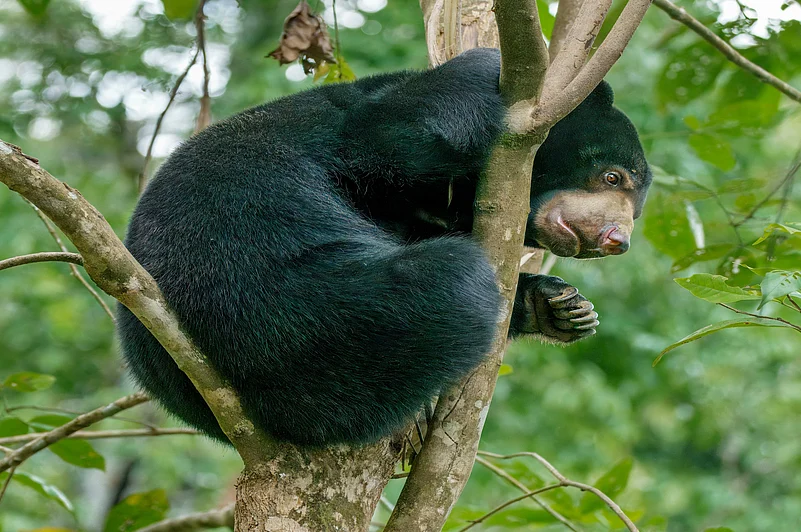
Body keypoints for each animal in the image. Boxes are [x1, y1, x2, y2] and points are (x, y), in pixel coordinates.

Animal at [117, 48, 651, 446]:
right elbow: (389, 135)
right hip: (288, 311)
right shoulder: (360, 137)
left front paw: (563, 308)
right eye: (613, 176)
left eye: (637, 209)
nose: (617, 240)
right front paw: (490, 59)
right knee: (450, 281)